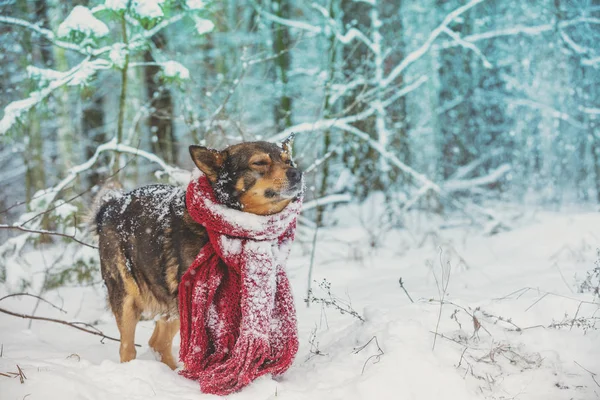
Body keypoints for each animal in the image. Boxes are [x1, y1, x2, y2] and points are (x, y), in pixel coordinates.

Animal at [96, 139, 302, 370]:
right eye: (259, 162)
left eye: (288, 161)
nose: (297, 173)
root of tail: (110, 205)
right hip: (128, 299)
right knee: (127, 348)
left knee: (158, 343)